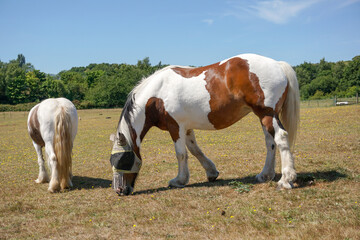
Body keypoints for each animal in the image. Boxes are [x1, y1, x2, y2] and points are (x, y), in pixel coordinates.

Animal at [110, 54, 300, 195]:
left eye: (122, 160)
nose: (119, 190)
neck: (157, 95)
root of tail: (278, 64)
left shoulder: (175, 127)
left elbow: (181, 154)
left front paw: (179, 180)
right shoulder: (186, 128)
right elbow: (195, 150)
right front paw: (211, 172)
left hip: (267, 114)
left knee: (281, 138)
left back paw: (285, 180)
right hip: (264, 117)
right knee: (270, 144)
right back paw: (265, 175)